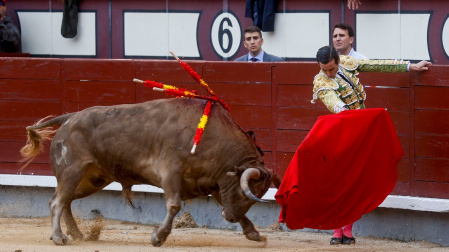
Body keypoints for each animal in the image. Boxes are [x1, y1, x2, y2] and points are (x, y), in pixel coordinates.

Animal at [21, 97, 280, 247]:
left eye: (255, 198)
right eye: (246, 193)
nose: (231, 218)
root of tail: (70, 117)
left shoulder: (215, 183)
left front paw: (255, 234)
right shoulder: (171, 171)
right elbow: (174, 205)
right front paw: (158, 237)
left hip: (91, 180)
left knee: (65, 201)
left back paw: (76, 234)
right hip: (72, 171)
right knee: (57, 202)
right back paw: (59, 237)